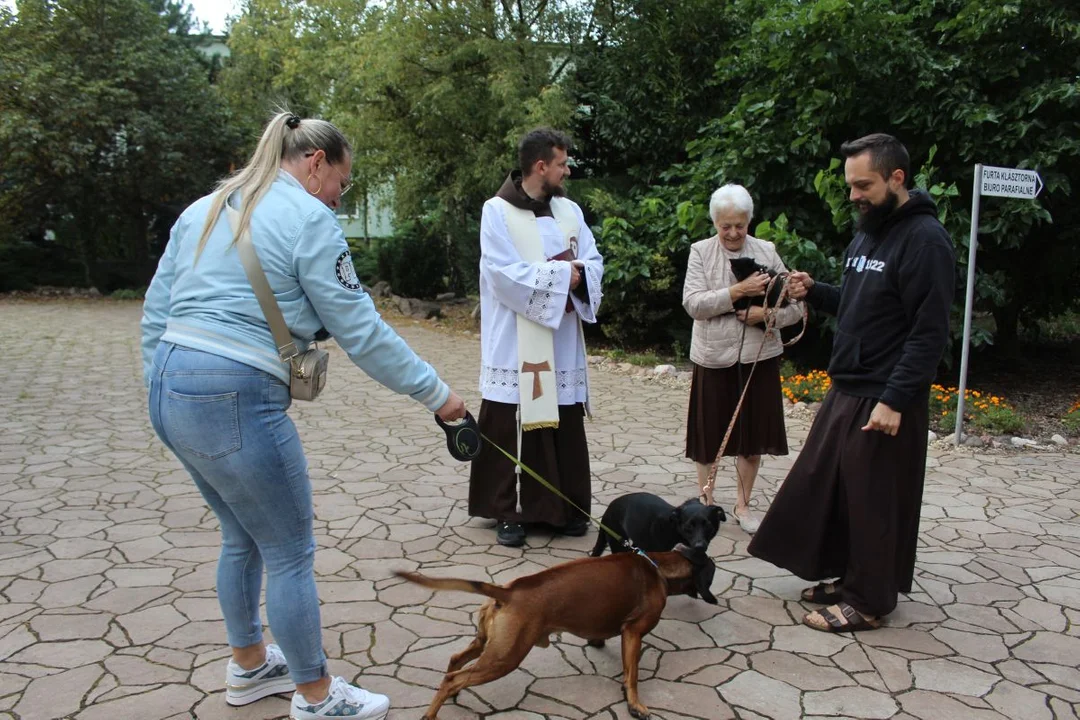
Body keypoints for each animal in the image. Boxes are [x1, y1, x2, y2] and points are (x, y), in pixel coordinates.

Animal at [393, 546, 712, 720]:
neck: (657, 566)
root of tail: (508, 591)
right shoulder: (633, 631)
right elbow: (632, 673)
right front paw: (635, 704)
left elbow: (622, 664)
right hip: (505, 657)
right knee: (455, 677)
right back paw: (432, 712)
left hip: (487, 643)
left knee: (455, 661)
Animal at [591, 492, 725, 561]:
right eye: (688, 527)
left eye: (708, 526)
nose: (700, 547)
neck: (672, 527)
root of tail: (609, 508)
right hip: (618, 543)